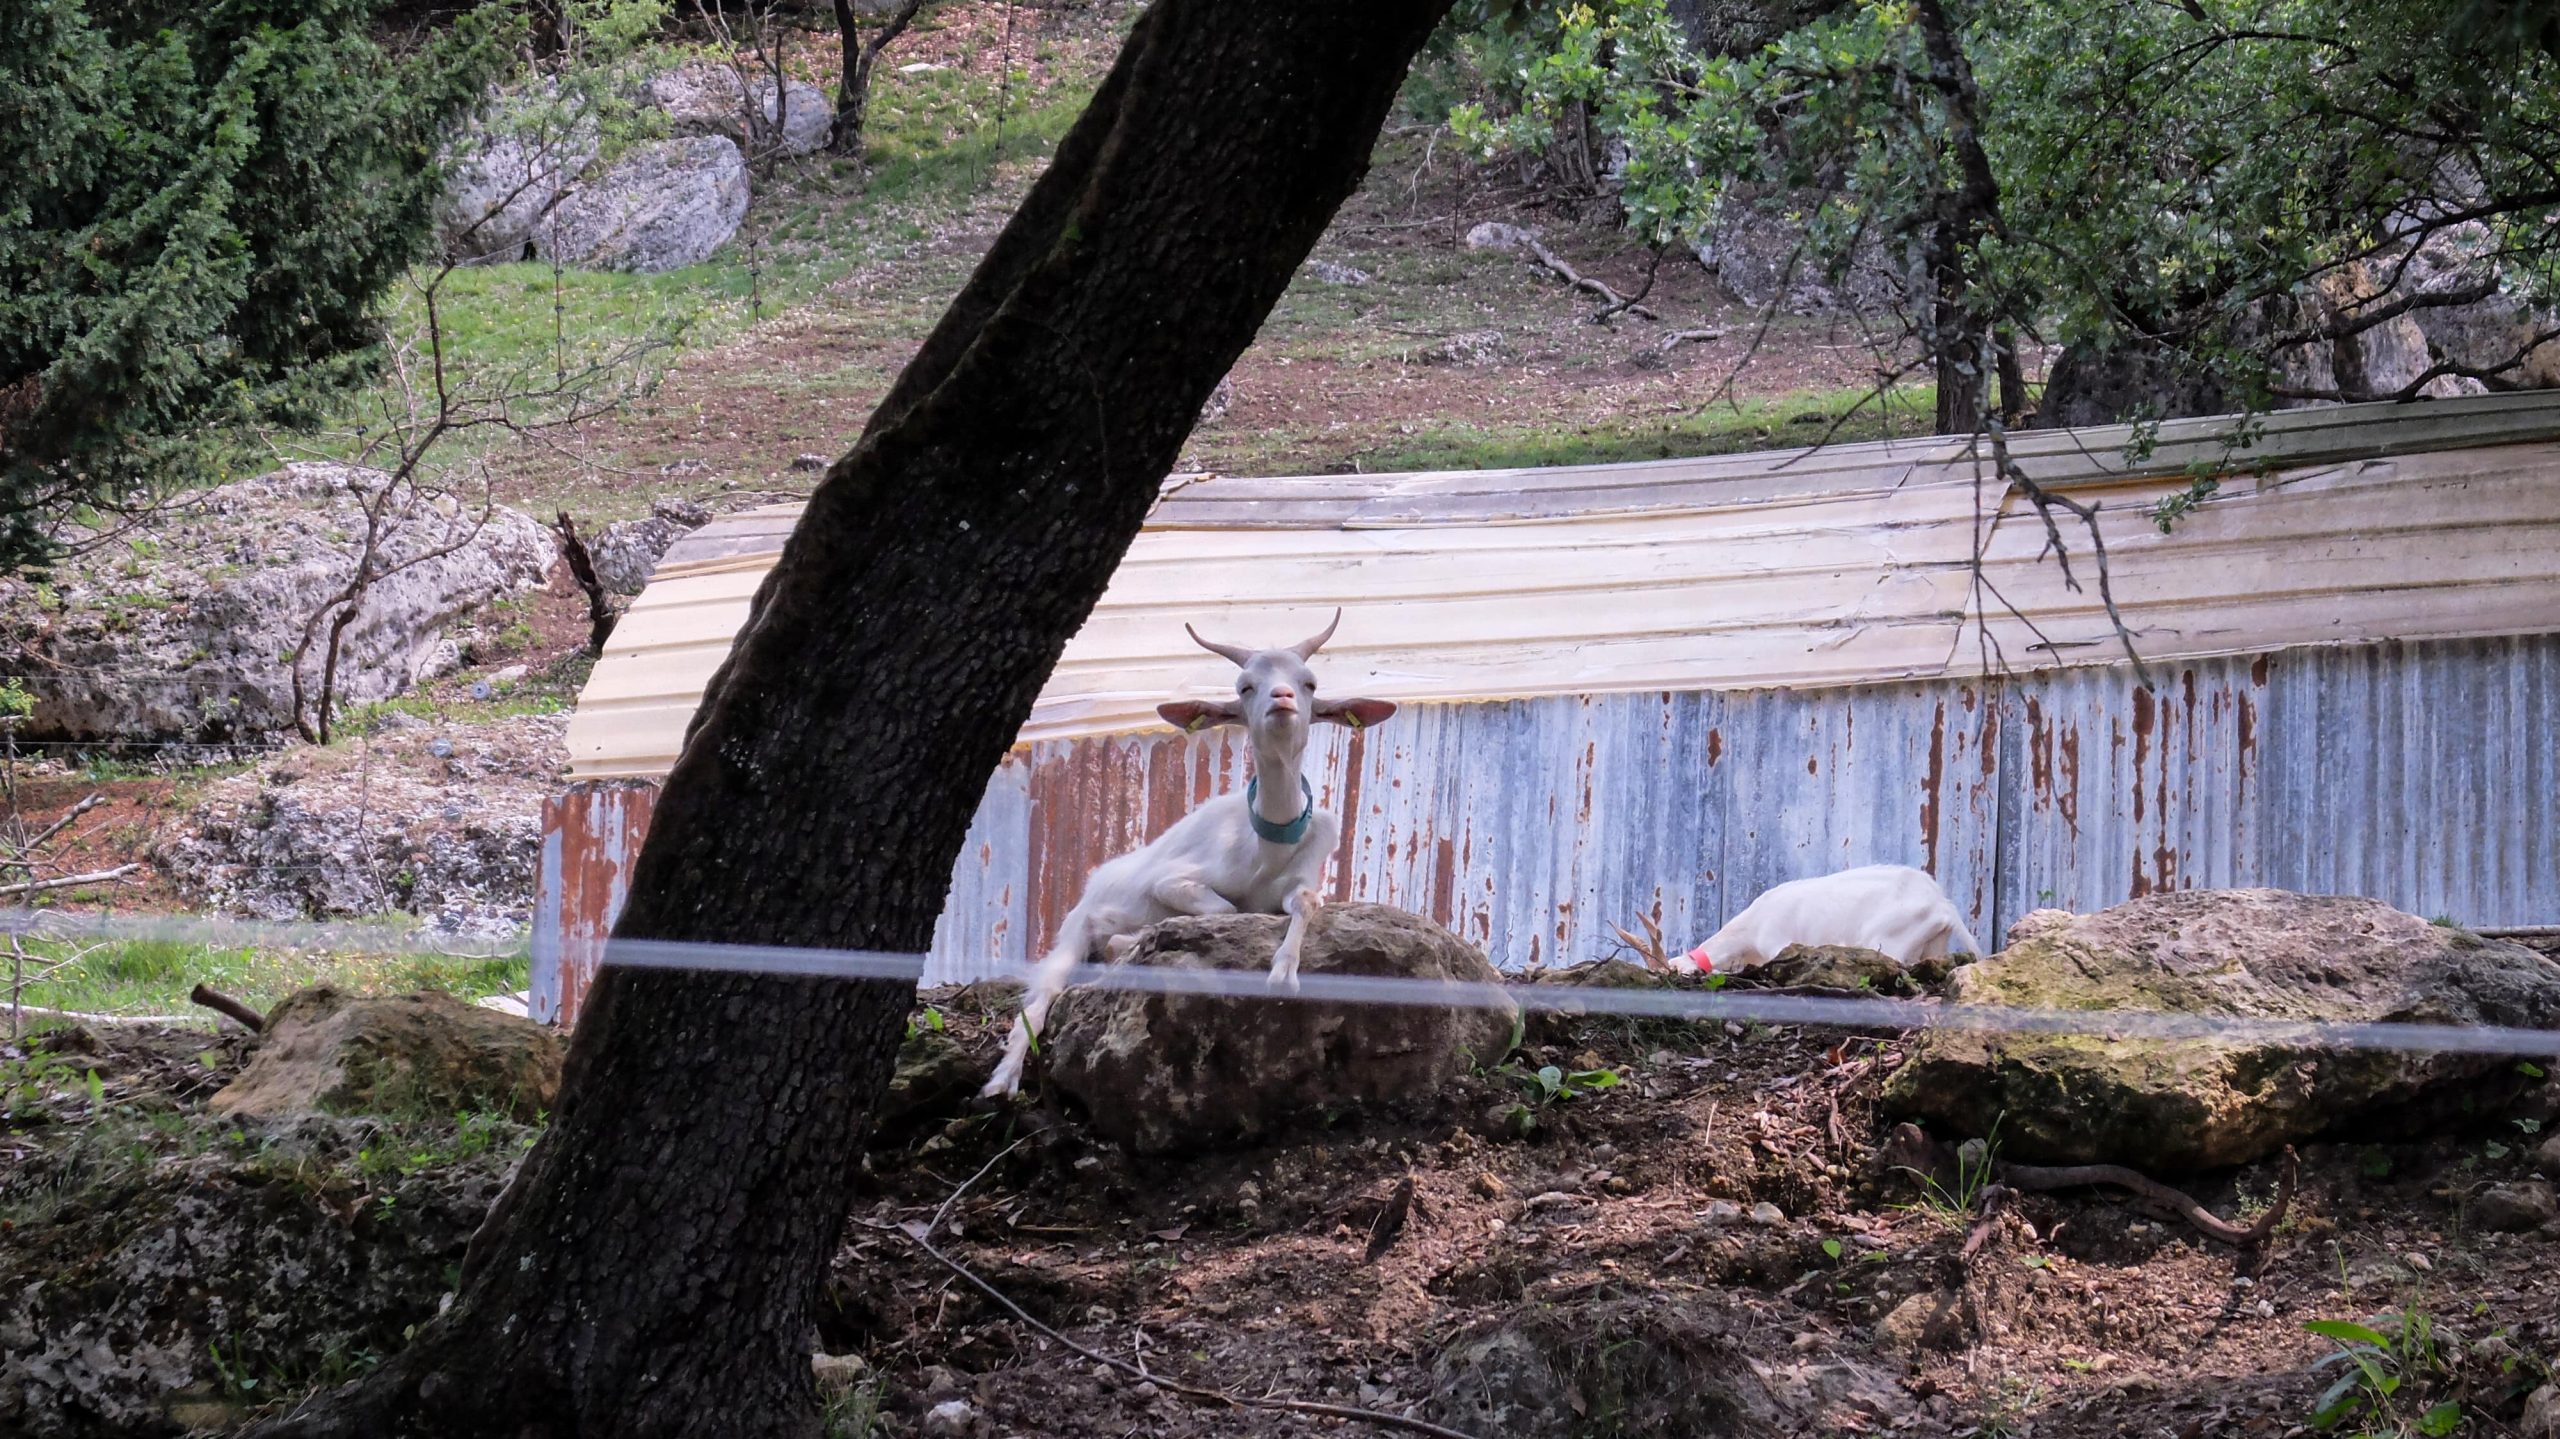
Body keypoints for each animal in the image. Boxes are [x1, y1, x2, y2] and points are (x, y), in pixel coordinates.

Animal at [980, 609, 1397, 1097]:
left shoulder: (1306, 873)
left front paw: (1282, 973)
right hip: (1072, 931)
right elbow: (1228, 908)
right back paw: (1002, 1080)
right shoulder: (1174, 878)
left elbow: (1307, 902)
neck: (1267, 846)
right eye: (1245, 686)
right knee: (1040, 998)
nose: (1282, 697)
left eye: (1309, 682)